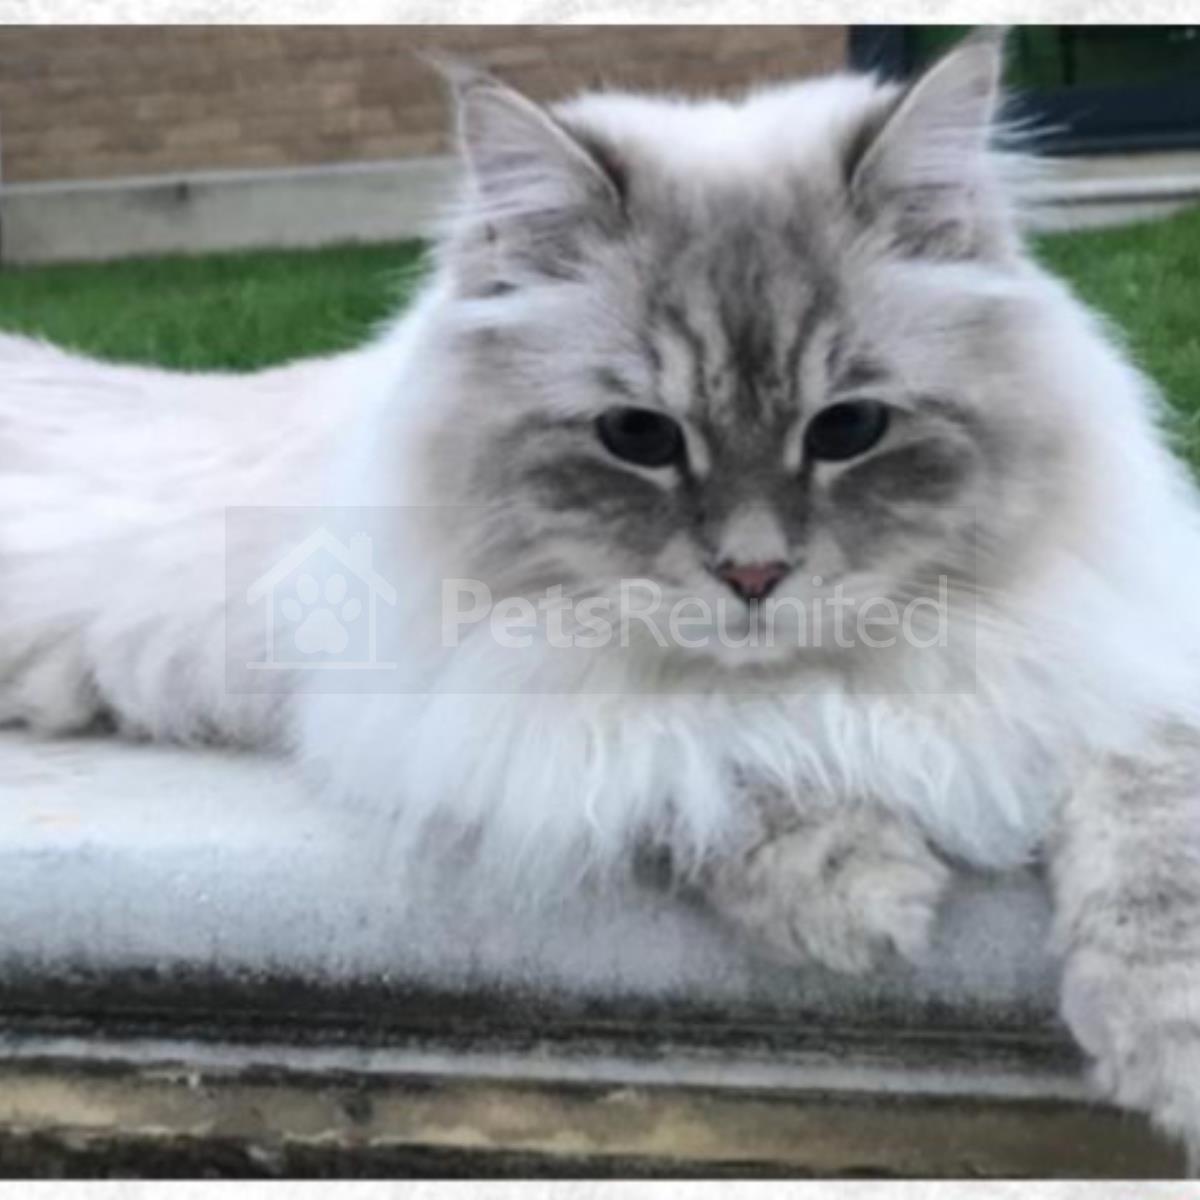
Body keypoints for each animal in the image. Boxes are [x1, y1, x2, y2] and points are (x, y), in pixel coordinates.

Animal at [3, 28, 1200, 1162]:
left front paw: (1166, 1047)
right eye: (639, 438)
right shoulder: (496, 706)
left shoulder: (1112, 659)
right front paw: (863, 896)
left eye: (849, 429)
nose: (753, 577)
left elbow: (1152, 834)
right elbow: (708, 767)